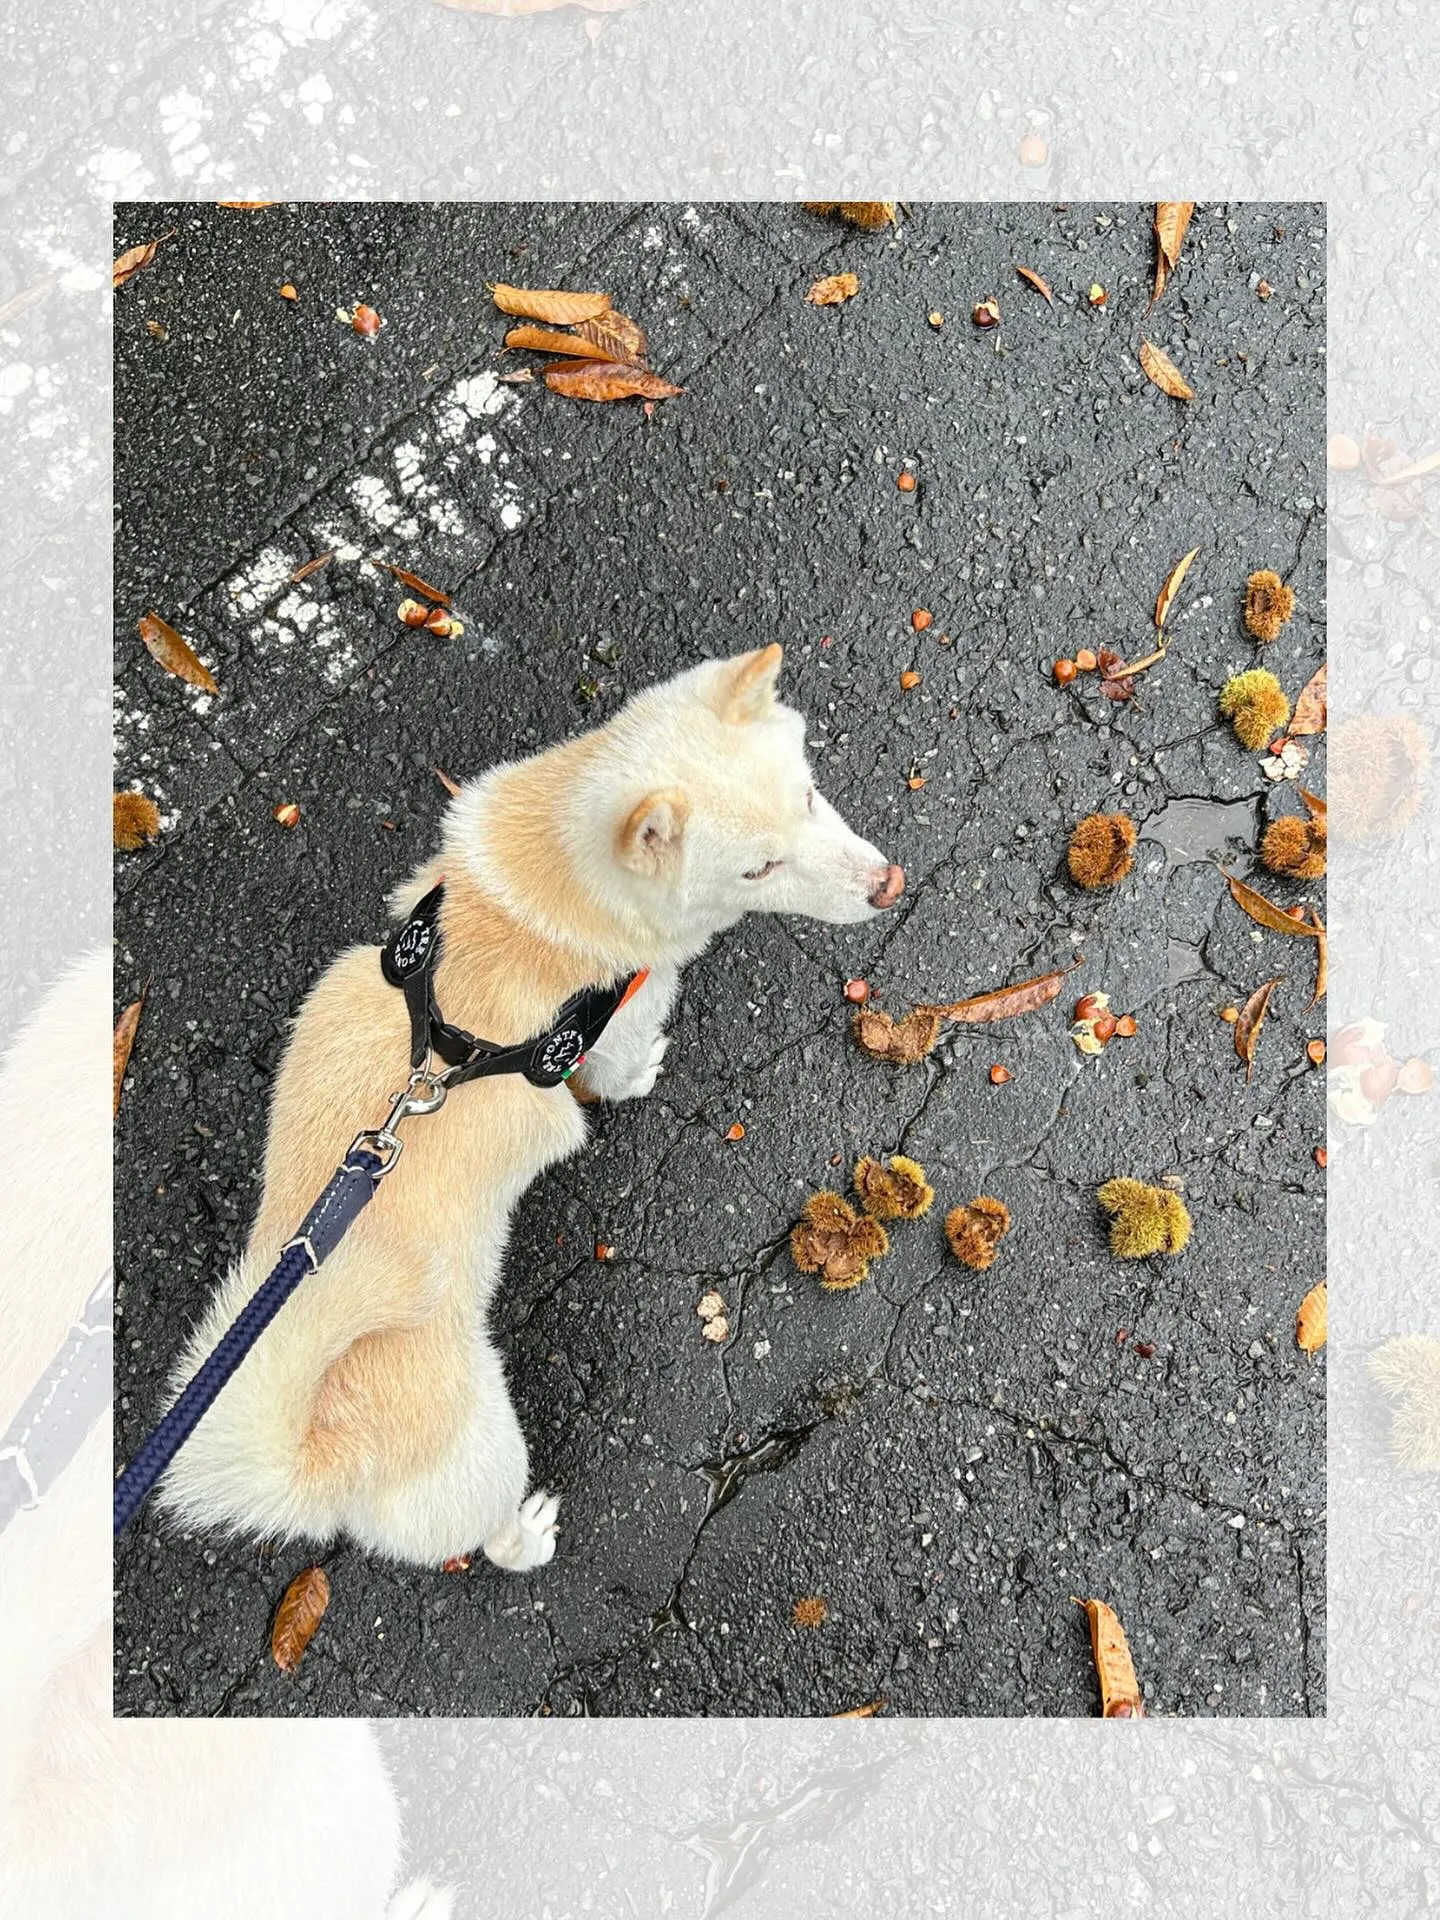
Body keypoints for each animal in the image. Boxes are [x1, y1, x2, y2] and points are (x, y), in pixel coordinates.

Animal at [158, 644, 904, 1567]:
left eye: (808, 795)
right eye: (757, 868)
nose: (889, 886)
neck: (547, 894)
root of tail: (320, 1464)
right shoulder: (607, 1027)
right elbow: (616, 1074)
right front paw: (641, 1077)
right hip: (492, 1450)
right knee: (496, 1542)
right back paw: (532, 1534)